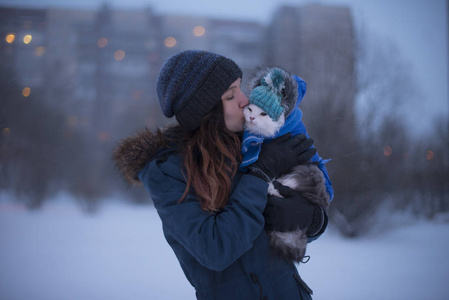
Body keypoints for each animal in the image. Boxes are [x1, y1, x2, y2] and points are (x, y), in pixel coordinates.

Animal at [242, 66, 328, 262]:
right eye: (250, 109)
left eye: (263, 113)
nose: (251, 118)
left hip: (309, 172)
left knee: (287, 186)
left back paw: (272, 189)